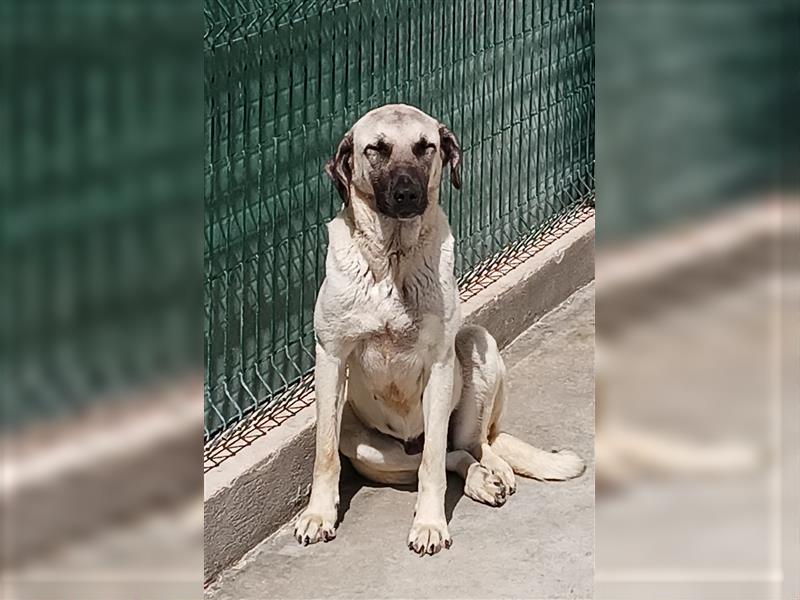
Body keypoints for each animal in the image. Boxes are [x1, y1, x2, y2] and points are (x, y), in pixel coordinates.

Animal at [292, 104, 580, 556]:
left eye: (425, 147)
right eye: (376, 149)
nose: (408, 193)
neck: (392, 259)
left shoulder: (441, 364)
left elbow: (432, 466)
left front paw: (429, 524)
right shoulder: (331, 357)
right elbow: (325, 455)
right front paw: (319, 515)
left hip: (478, 344)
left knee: (467, 446)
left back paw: (493, 472)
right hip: (369, 448)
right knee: (445, 456)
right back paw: (483, 480)